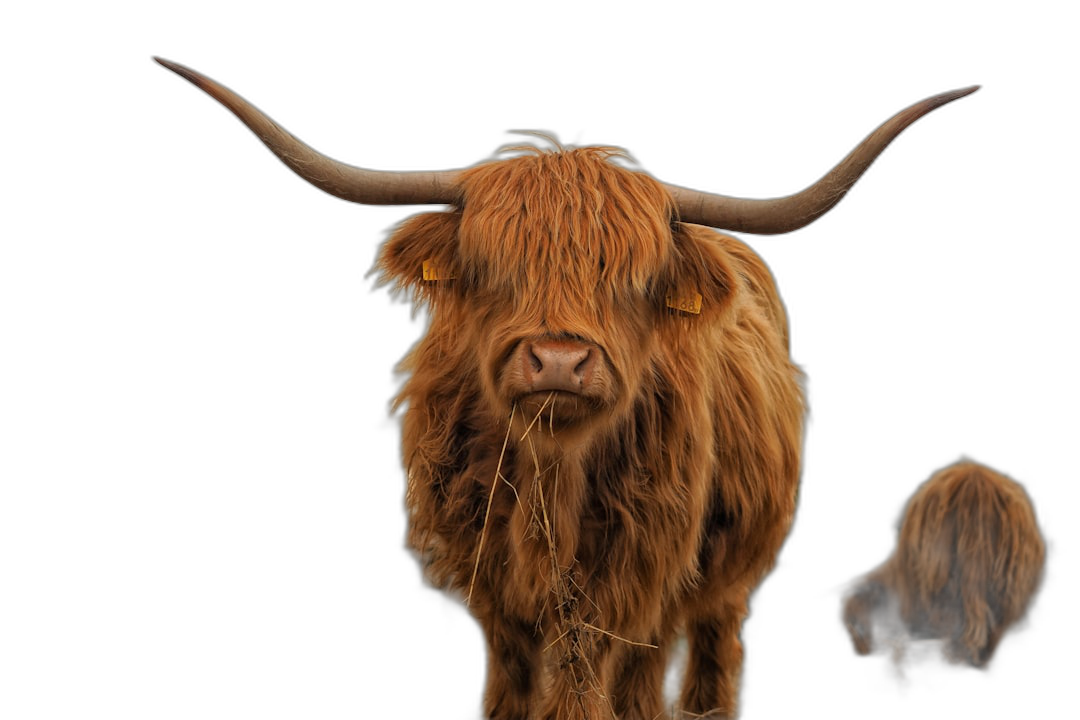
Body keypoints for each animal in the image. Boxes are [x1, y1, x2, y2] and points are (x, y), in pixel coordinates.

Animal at [157, 57, 980, 720]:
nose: (558, 361)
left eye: (632, 279)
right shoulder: (490, 582)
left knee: (703, 646)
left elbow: (601, 679)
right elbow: (515, 678)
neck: (551, 480)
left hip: (726, 570)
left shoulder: (634, 578)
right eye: (493, 267)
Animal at [842, 462, 1045, 677]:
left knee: (952, 634)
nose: (861, 652)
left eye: (857, 625)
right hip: (1003, 593)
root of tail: (974, 480)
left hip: (942, 587)